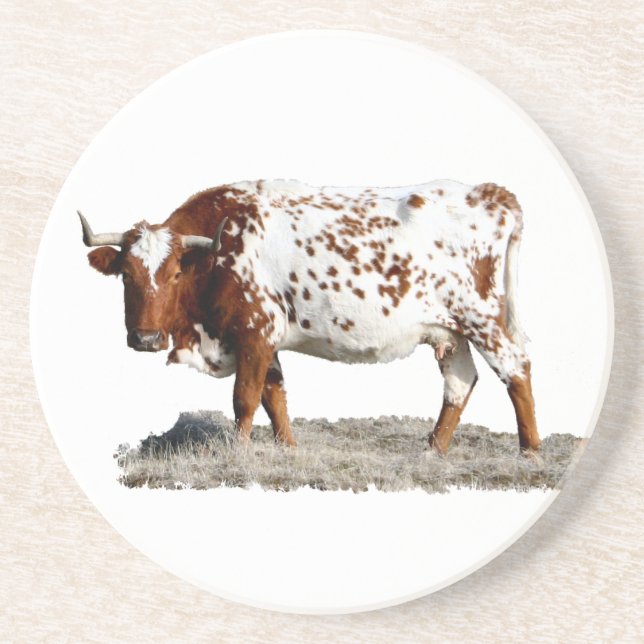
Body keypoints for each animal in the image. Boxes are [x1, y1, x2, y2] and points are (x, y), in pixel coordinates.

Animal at [79, 179, 541, 454]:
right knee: (460, 382)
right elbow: (274, 396)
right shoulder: (264, 340)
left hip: (482, 316)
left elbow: (245, 398)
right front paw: (288, 449)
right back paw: (432, 449)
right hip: (448, 329)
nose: (146, 338)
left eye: (175, 273)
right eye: (126, 274)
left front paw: (238, 453)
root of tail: (489, 192)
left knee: (516, 370)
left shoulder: (256, 331)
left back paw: (530, 451)